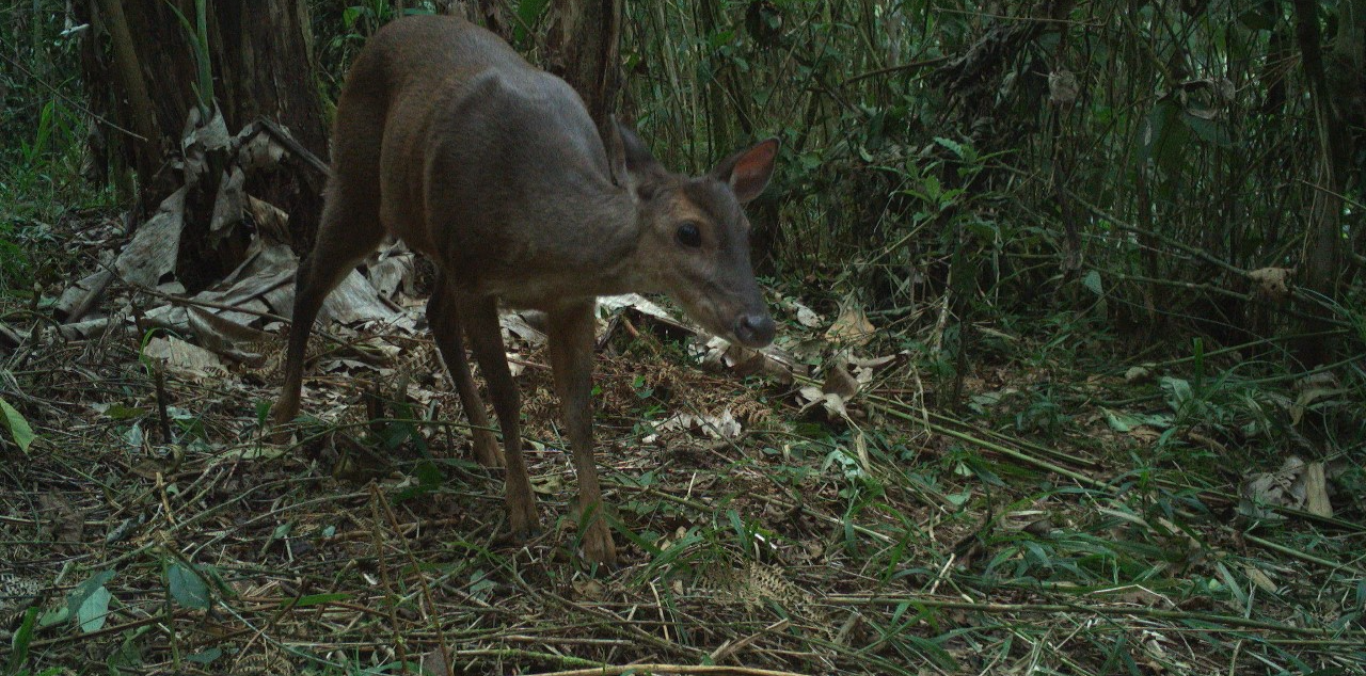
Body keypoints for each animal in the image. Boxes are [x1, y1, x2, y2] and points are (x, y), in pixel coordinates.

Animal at [271, 14, 781, 565]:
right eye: (689, 232)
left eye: (745, 230)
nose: (759, 323)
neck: (535, 235)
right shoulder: (476, 277)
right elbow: (507, 393)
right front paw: (522, 512)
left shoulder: (570, 300)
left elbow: (579, 412)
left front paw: (597, 537)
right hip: (358, 177)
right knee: (309, 277)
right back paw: (283, 415)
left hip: (437, 242)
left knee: (434, 314)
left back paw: (486, 450)